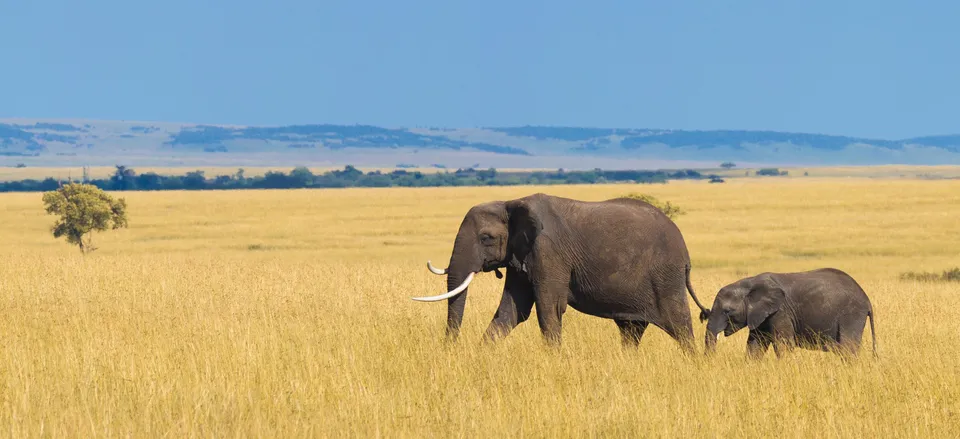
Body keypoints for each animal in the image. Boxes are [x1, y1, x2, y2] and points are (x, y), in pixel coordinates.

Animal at [408, 194, 708, 352]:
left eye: (486, 238)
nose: (450, 349)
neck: (510, 202)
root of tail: (685, 253)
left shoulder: (548, 253)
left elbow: (548, 308)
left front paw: (554, 359)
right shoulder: (521, 256)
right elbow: (511, 311)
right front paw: (481, 355)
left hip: (665, 276)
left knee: (679, 324)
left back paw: (694, 362)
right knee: (631, 329)